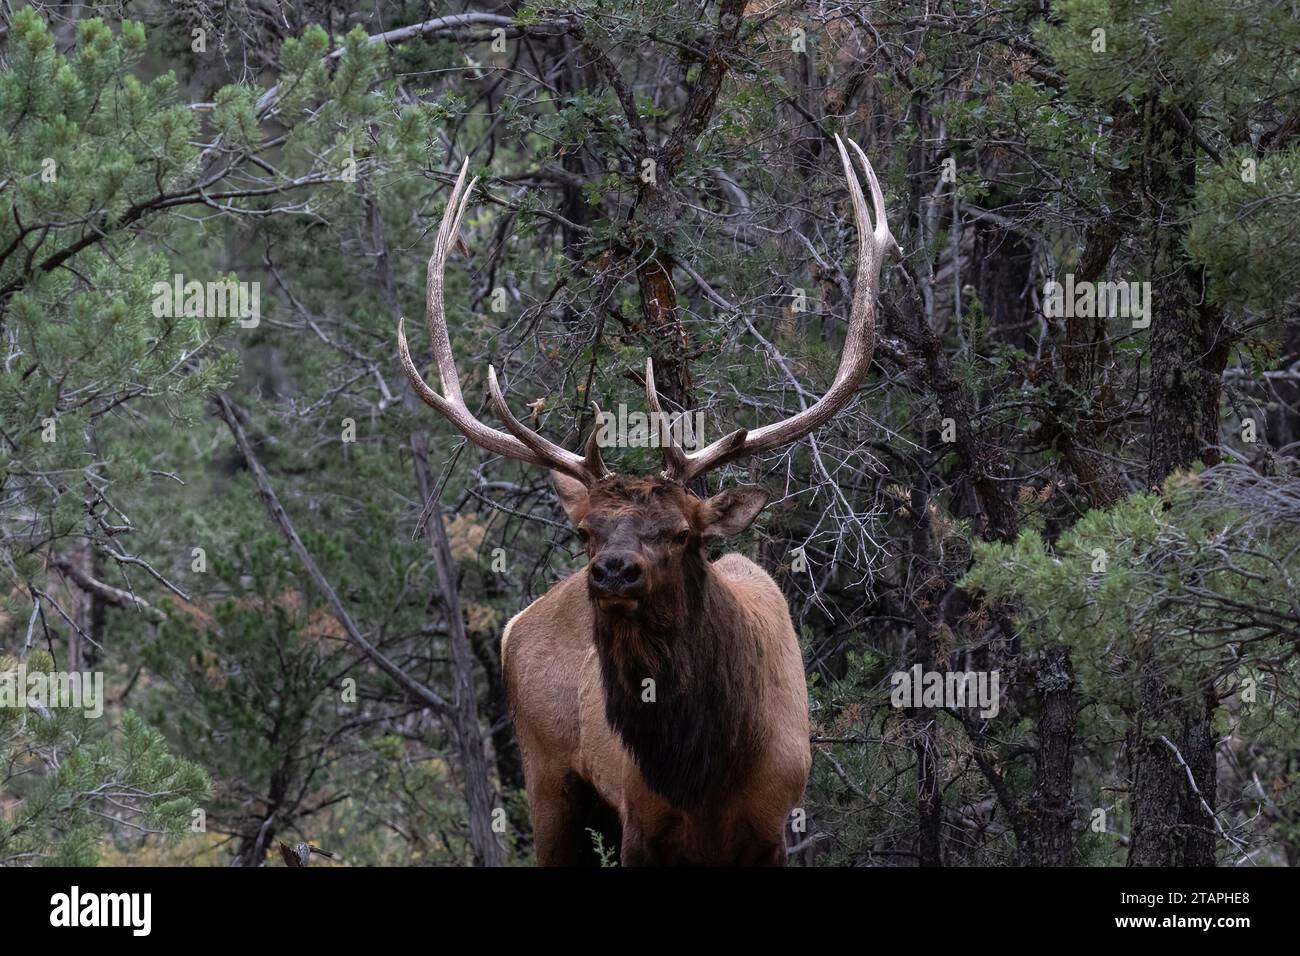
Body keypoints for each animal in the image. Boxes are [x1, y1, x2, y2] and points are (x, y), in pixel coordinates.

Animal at [400, 136, 899, 868]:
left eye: (681, 531)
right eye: (585, 531)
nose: (613, 570)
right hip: (550, 783)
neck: (705, 774)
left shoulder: (774, 822)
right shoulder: (640, 822)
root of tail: (519, 621)